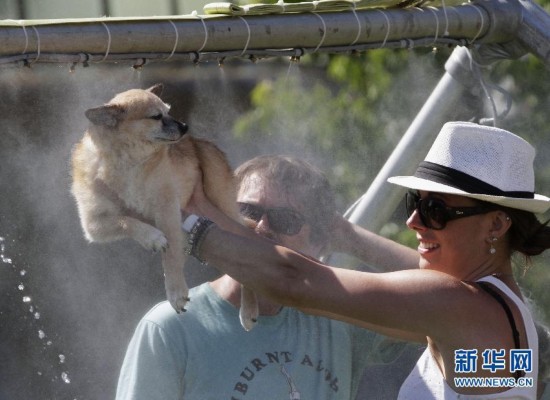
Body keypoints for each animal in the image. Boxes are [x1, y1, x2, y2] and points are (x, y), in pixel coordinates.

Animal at [71, 84, 258, 331]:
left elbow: (169, 256)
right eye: (156, 117)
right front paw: (151, 237)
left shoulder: (167, 208)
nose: (185, 126)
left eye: (169, 111)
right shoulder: (94, 224)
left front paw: (175, 290)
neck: (128, 163)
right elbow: (126, 221)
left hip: (223, 205)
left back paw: (248, 309)